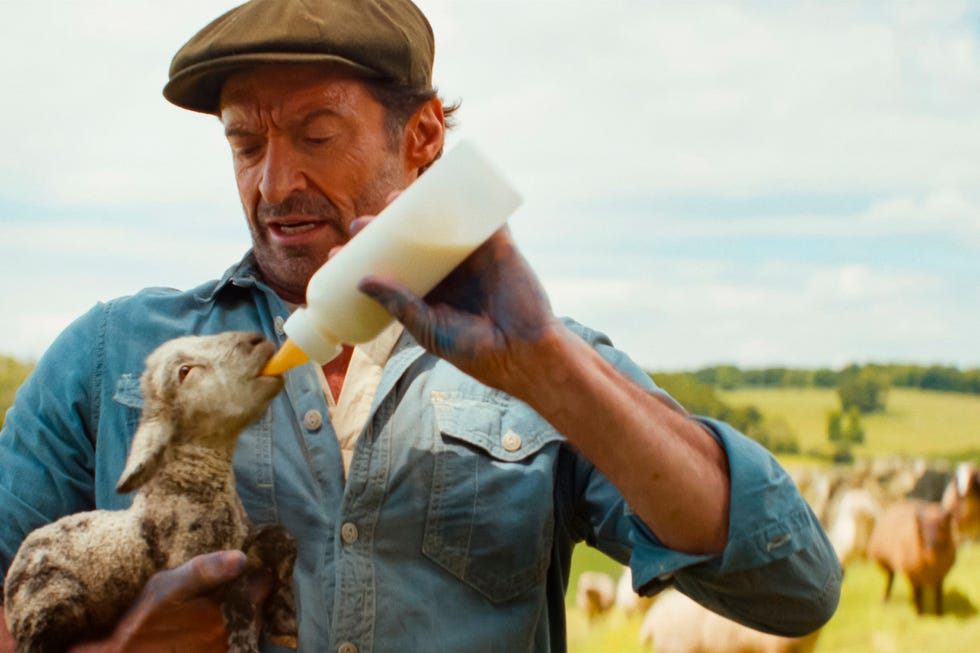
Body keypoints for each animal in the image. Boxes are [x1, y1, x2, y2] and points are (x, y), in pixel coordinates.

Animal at [3, 332, 296, 653]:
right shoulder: (196, 561)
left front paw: (285, 622)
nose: (257, 340)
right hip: (49, 606)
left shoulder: (243, 540)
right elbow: (239, 593)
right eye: (185, 371)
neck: (193, 481)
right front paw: (244, 641)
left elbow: (282, 540)